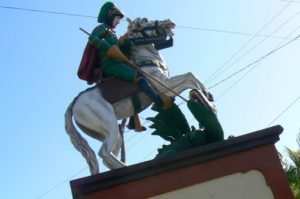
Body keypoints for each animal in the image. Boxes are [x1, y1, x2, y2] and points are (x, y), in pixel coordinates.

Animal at [65, 17, 216, 175]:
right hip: (108, 123)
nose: (169, 22)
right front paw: (208, 99)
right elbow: (190, 77)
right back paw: (126, 168)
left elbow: (191, 78)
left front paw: (206, 99)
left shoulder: (166, 89)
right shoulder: (165, 85)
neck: (147, 61)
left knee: (109, 155)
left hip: (111, 132)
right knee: (104, 153)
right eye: (145, 22)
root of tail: (75, 103)